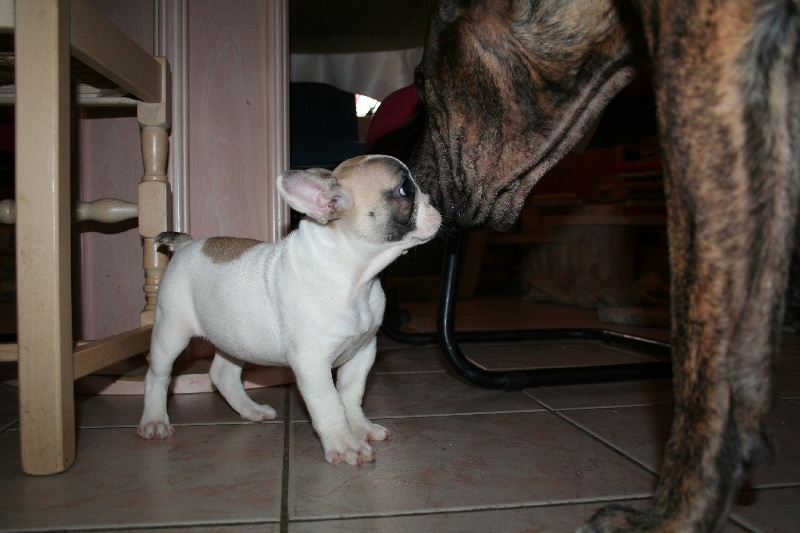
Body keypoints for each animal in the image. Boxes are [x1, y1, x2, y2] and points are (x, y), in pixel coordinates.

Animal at [136, 155, 438, 466]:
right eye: (405, 189)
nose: (433, 198)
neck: (355, 277)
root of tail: (186, 243)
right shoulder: (312, 363)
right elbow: (330, 403)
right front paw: (345, 445)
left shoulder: (363, 351)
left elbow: (351, 395)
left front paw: (360, 428)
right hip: (171, 330)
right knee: (157, 375)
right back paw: (155, 421)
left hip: (236, 338)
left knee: (223, 374)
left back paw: (252, 410)